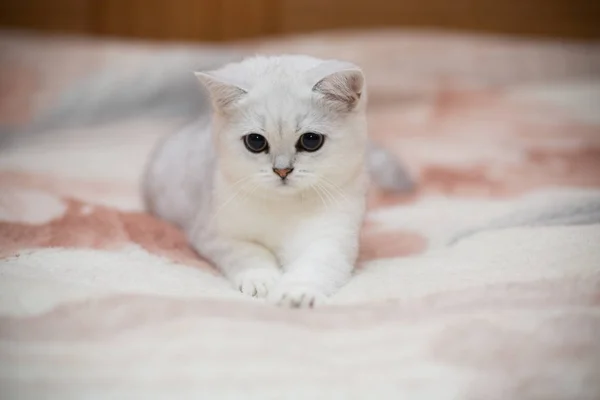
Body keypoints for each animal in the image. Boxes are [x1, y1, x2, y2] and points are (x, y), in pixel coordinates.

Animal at [144, 54, 410, 308]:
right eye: (255, 142)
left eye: (311, 140)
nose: (282, 170)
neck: (284, 206)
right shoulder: (214, 234)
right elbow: (249, 253)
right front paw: (260, 279)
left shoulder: (332, 238)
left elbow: (313, 266)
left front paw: (296, 294)